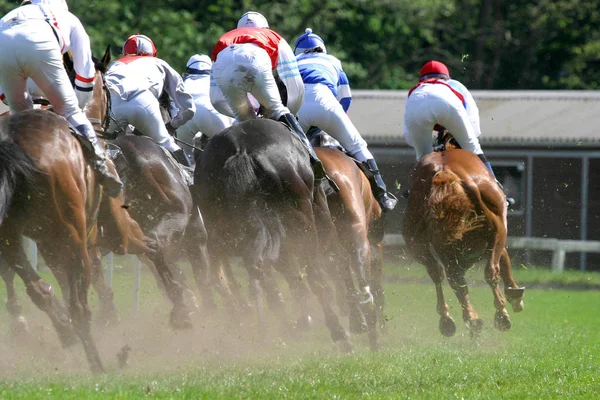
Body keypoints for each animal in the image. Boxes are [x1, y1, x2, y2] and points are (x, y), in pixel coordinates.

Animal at [0, 48, 115, 374]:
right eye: (109, 89)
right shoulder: (84, 235)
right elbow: (92, 281)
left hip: (11, 238)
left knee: (38, 289)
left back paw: (62, 331)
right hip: (70, 235)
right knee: (79, 305)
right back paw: (97, 363)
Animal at [192, 118, 352, 350]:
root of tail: (241, 152)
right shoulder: (319, 205)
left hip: (222, 229)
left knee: (242, 273)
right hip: (301, 219)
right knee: (314, 272)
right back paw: (339, 330)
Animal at [404, 148, 524, 336]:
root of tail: (444, 170)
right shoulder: (496, 237)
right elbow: (503, 264)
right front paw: (514, 295)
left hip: (419, 241)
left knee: (445, 275)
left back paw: (463, 318)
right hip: (497, 230)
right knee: (489, 271)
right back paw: (499, 314)